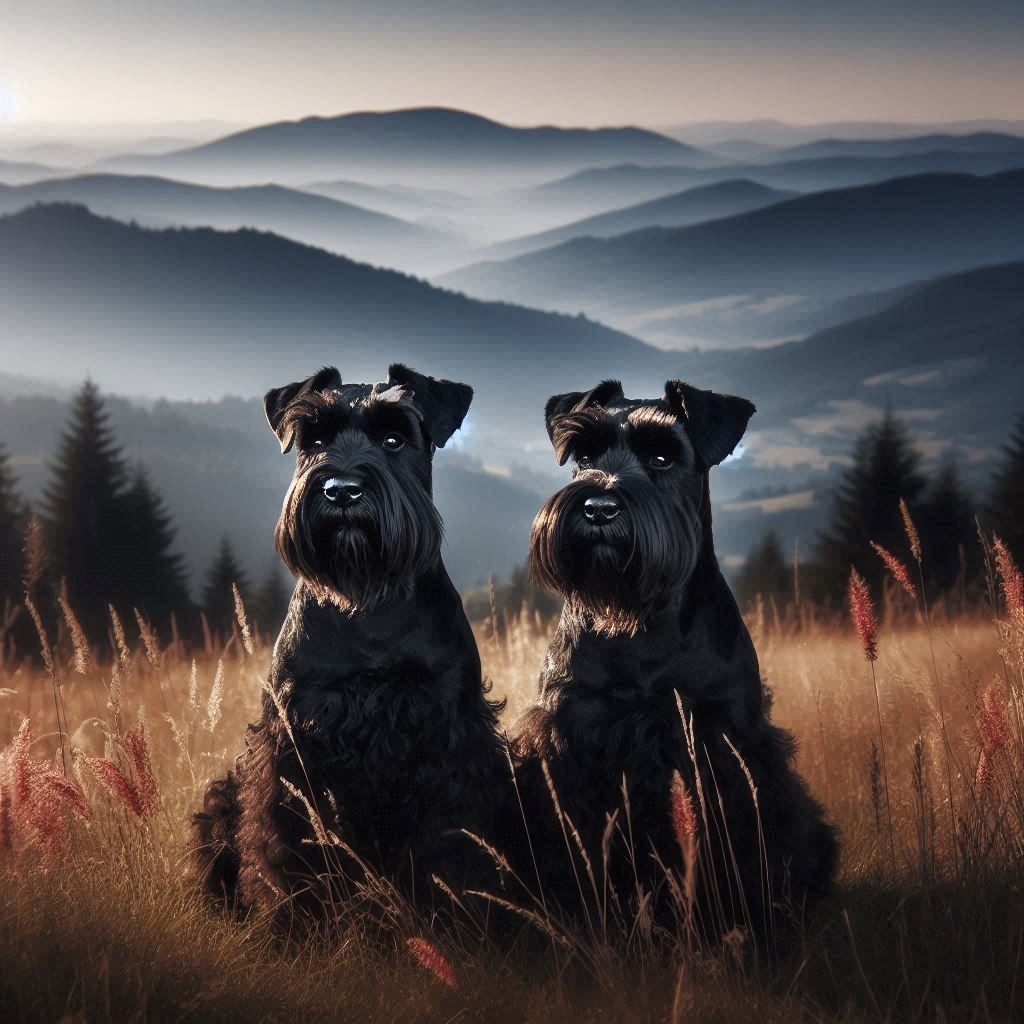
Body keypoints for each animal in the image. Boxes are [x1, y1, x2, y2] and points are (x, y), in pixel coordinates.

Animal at [191, 366, 503, 929]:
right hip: (224, 795)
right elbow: (285, 843)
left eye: (394, 438)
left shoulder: (450, 737)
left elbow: (451, 843)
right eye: (313, 440)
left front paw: (456, 919)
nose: (341, 491)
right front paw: (295, 923)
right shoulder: (292, 742)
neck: (368, 602)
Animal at [507, 378, 835, 942]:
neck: (642, 622)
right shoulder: (570, 741)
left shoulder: (723, 742)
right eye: (584, 455)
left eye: (662, 456)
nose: (597, 507)